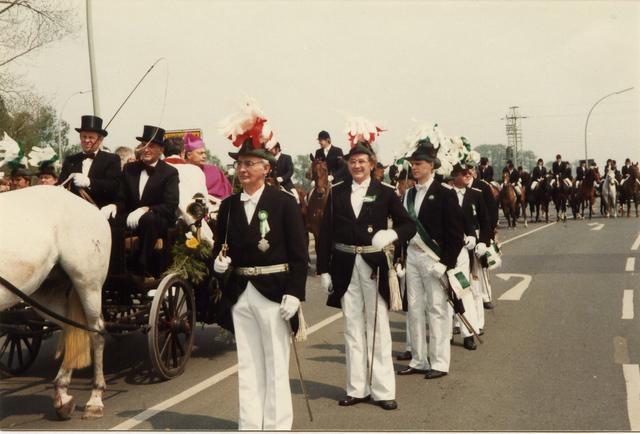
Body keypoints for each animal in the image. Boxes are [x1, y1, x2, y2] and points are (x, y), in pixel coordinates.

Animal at [0, 186, 110, 418]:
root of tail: (92, 207)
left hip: (88, 283)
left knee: (96, 332)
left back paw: (95, 398)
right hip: (43, 294)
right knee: (72, 328)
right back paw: (62, 394)